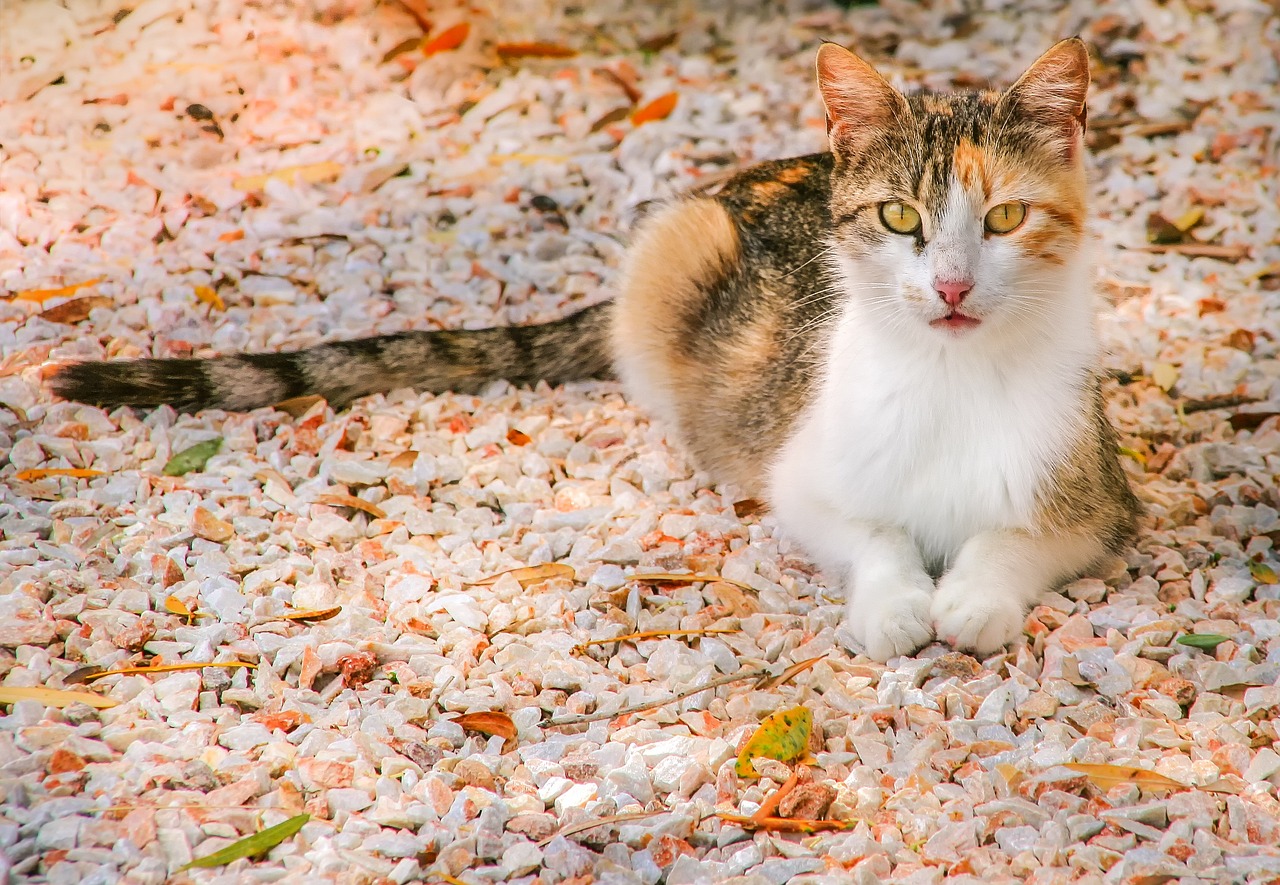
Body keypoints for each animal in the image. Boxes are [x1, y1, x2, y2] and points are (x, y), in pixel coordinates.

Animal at [55, 39, 1146, 665]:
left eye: (1003, 218)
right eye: (899, 219)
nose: (953, 287)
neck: (951, 379)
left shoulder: (1094, 498)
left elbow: (1013, 537)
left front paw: (970, 597)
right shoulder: (798, 473)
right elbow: (869, 533)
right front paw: (894, 602)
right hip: (674, 250)